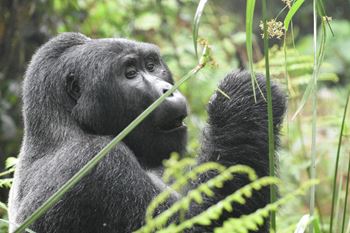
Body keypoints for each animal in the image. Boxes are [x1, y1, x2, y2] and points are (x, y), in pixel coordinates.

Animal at [8, 32, 286, 233]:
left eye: (152, 66)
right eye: (130, 74)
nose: (167, 90)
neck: (63, 124)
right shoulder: (94, 162)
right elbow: (200, 222)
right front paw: (245, 101)